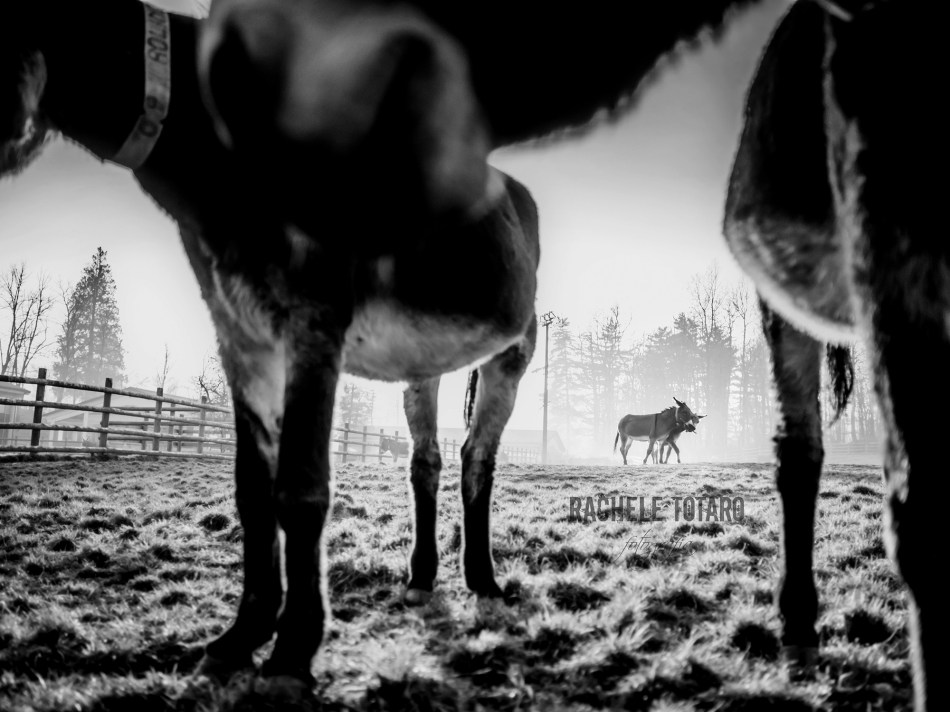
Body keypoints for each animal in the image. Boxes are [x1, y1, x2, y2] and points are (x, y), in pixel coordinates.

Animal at [1, 0, 539, 688]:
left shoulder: (313, 322)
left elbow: (301, 490)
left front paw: (292, 651)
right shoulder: (242, 334)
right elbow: (254, 491)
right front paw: (241, 637)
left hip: (513, 352)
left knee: (477, 459)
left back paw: (485, 583)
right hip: (423, 365)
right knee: (428, 460)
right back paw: (421, 580)